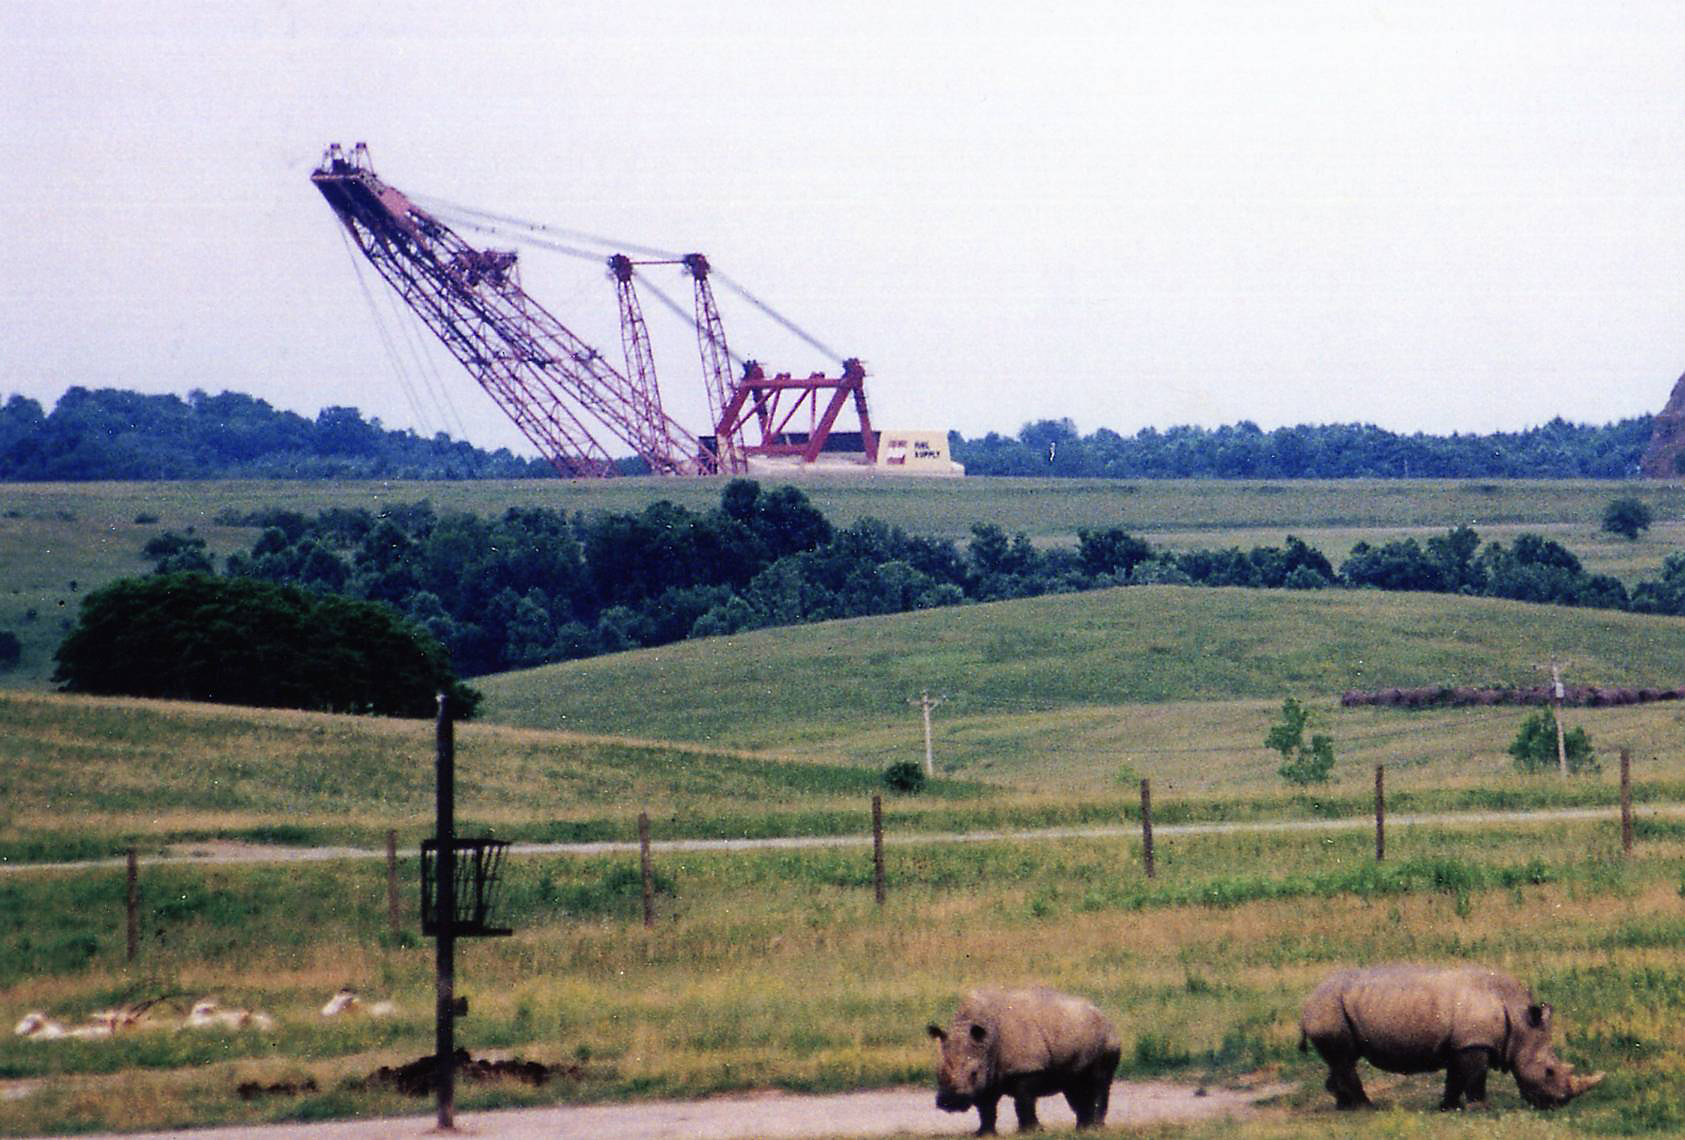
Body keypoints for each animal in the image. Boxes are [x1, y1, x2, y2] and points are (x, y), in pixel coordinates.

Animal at [927, 986, 1121, 1134]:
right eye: (938, 1072)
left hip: (1107, 1038)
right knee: (1073, 1084)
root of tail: (1102, 1013)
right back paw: (1083, 1129)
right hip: (1076, 1031)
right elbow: (986, 1107)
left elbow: (1023, 1101)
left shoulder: (1026, 1068)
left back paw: (1096, 1128)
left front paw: (1030, 1131)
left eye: (973, 1073)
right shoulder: (988, 1069)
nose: (950, 1102)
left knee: (1099, 1081)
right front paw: (984, 1133)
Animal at [1300, 964, 1604, 1111]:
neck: (1520, 1021)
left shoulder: (1466, 1044)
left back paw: (1344, 1107)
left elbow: (1458, 1078)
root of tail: (1307, 1002)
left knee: (1341, 1060)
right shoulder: (1473, 1043)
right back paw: (1366, 1108)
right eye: (1549, 1071)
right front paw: (1480, 1108)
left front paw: (1451, 1107)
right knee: (1344, 1060)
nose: (1559, 1104)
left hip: (1333, 1007)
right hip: (1328, 1007)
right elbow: (1472, 1077)